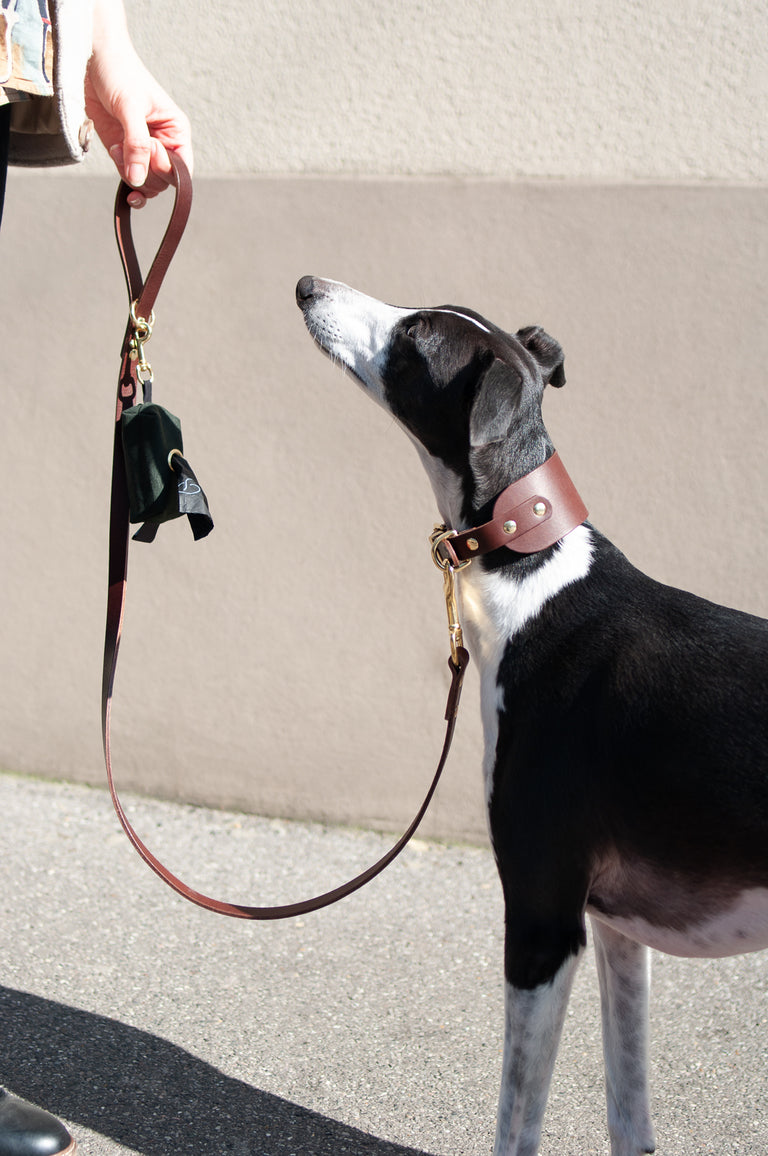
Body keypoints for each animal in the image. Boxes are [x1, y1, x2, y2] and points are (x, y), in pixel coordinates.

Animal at [294, 277, 768, 1156]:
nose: (309, 286)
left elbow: (517, 1122)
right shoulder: (618, 929)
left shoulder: (544, 919)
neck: (534, 579)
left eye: (413, 335)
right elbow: (628, 1116)